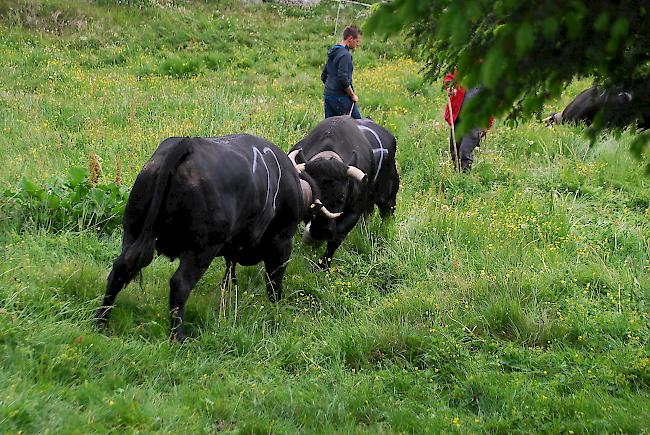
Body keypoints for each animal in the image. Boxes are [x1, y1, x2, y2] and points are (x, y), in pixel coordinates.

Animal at [96, 135, 304, 342]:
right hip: (201, 248)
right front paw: (276, 309)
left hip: (132, 231)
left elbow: (230, 272)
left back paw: (101, 322)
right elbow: (274, 279)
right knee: (180, 284)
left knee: (119, 270)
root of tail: (187, 143)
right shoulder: (282, 240)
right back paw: (178, 337)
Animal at [290, 116, 400, 270]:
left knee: (387, 216)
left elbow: (336, 239)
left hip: (389, 198)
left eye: (342, 196)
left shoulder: (353, 213)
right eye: (312, 196)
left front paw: (324, 265)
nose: (321, 231)